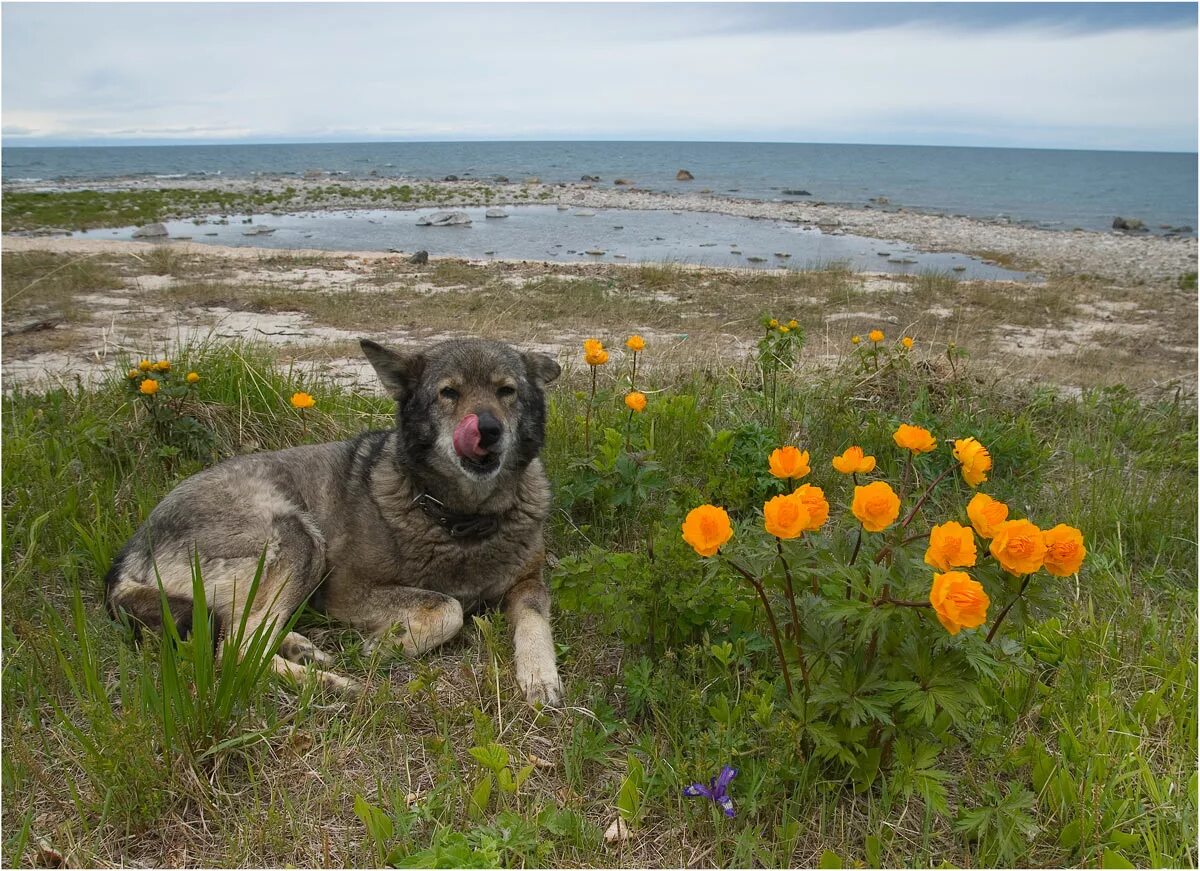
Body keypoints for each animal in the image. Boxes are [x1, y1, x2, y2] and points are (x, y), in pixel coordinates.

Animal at [105, 338, 564, 705]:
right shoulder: (348, 591)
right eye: (448, 393)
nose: (487, 429)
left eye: (507, 391)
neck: (461, 520)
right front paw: (389, 645)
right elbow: (448, 606)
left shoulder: (529, 583)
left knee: (240, 630)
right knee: (234, 650)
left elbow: (535, 622)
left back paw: (301, 649)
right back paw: (329, 683)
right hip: (299, 539)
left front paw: (541, 675)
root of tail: (129, 556)